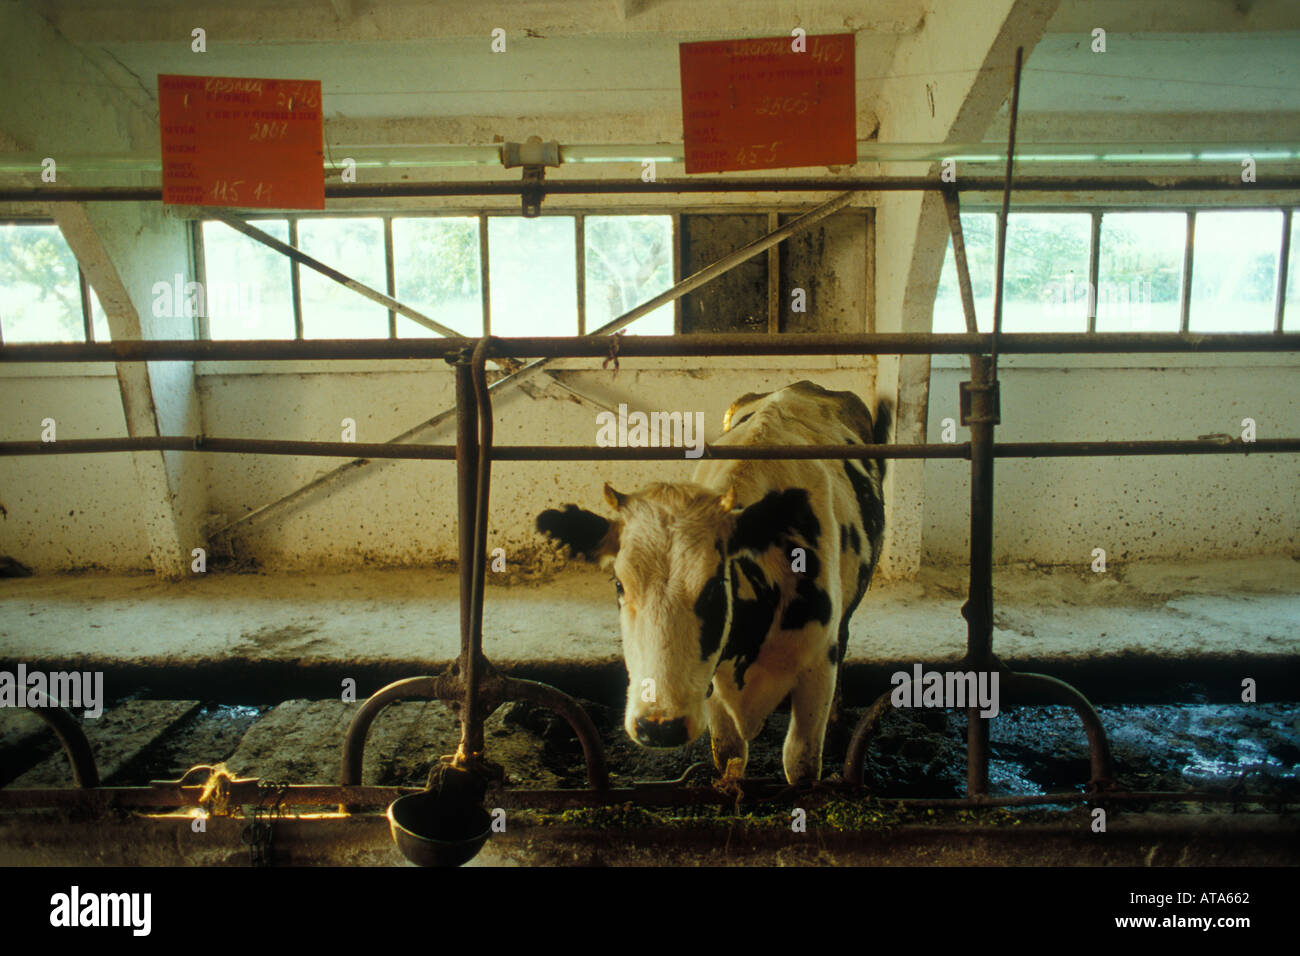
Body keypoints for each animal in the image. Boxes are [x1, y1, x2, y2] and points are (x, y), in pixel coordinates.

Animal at [533, 382, 889, 785]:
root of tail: (802, 386)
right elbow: (730, 756)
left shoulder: (817, 666)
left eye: (716, 586)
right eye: (619, 585)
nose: (659, 726)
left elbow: (800, 762)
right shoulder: (715, 680)